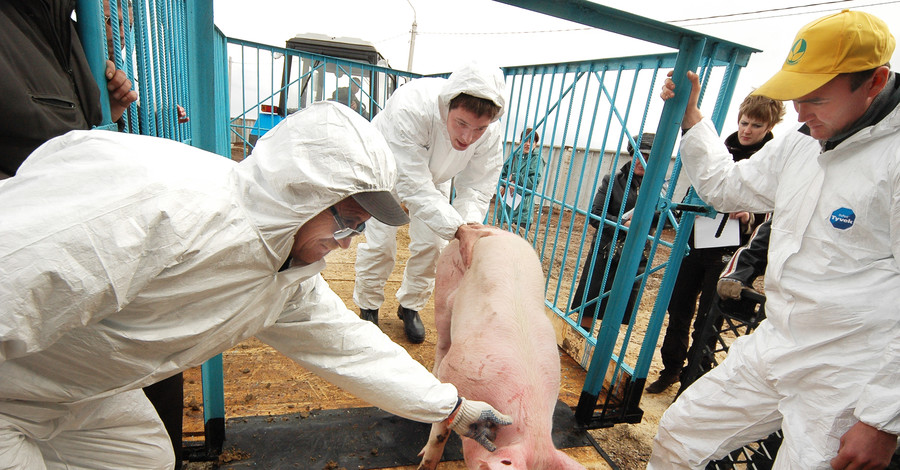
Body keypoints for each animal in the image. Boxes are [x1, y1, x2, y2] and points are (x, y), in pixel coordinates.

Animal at [418, 229, 588, 470]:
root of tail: (493, 229)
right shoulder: (456, 369)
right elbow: (439, 434)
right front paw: (425, 462)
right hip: (443, 283)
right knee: (442, 342)